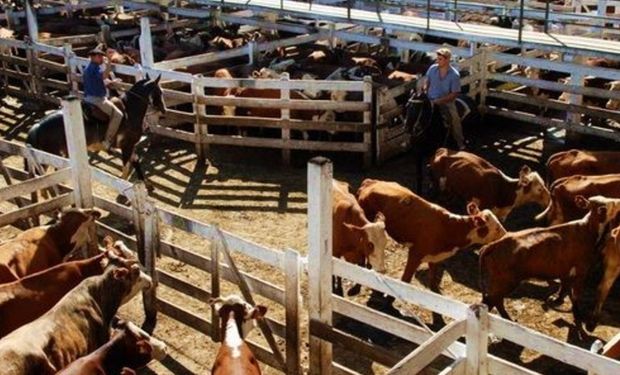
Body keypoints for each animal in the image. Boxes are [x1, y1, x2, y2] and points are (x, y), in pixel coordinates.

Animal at [25, 75, 166, 188]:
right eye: (159, 92)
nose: (164, 110)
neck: (130, 111)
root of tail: (37, 126)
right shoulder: (127, 145)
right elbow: (126, 167)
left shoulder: (130, 146)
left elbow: (136, 161)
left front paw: (146, 183)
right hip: (48, 157)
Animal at [356, 179, 506, 290]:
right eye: (497, 228)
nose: (506, 235)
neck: (449, 228)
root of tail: (370, 182)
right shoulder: (415, 254)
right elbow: (405, 280)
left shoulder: (435, 257)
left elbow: (433, 280)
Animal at [480, 195, 620, 334]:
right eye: (611, 204)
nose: (618, 201)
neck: (588, 229)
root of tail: (494, 244)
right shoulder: (581, 270)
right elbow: (576, 296)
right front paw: (578, 317)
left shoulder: (566, 268)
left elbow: (565, 285)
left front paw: (557, 299)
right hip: (505, 281)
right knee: (494, 300)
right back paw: (507, 320)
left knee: (490, 300)